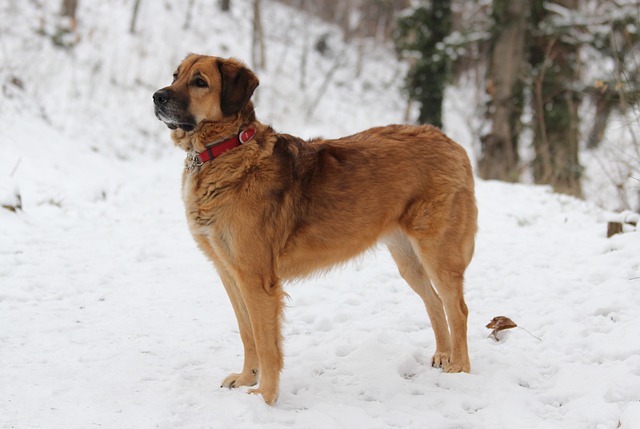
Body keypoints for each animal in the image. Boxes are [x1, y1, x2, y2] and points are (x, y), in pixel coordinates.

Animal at [152, 54, 478, 404]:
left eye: (199, 82)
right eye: (175, 75)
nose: (157, 97)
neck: (226, 150)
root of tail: (451, 142)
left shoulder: (257, 279)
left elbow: (266, 344)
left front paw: (265, 396)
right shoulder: (229, 272)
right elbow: (247, 332)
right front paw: (246, 379)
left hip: (437, 252)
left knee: (458, 308)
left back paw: (459, 368)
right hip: (408, 259)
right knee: (434, 302)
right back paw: (444, 354)